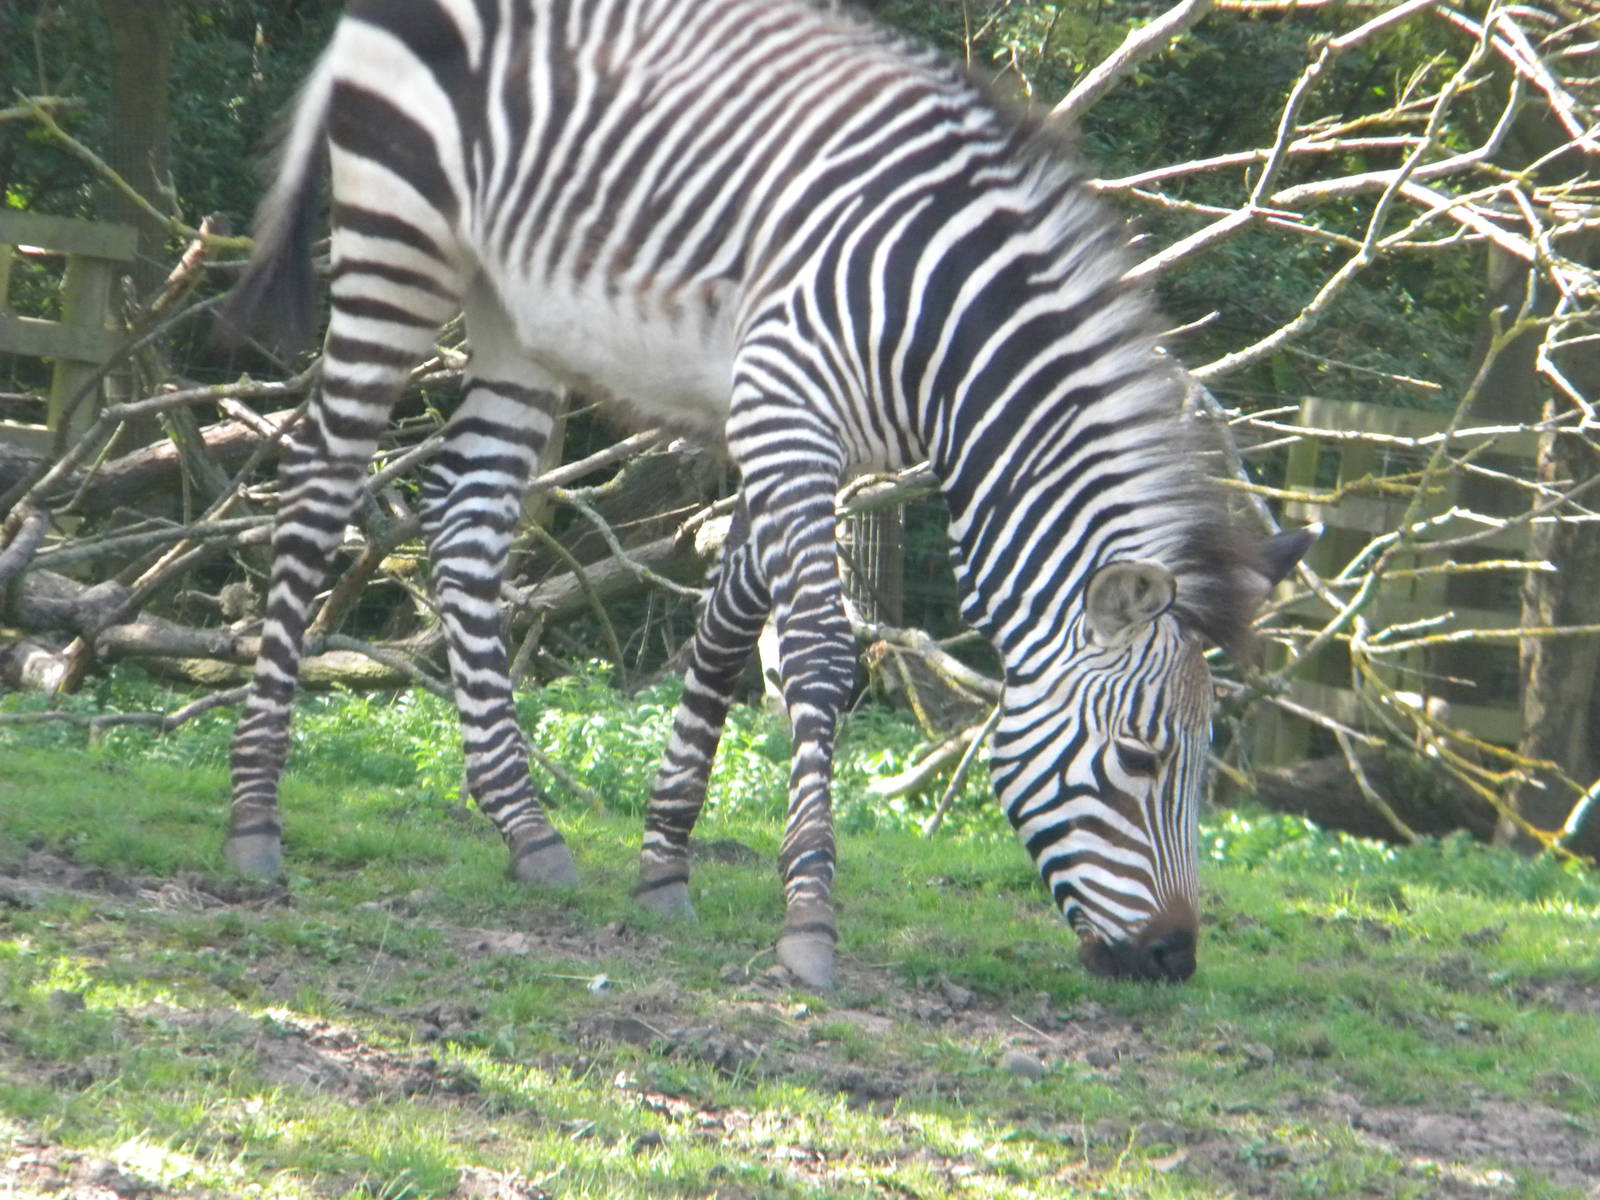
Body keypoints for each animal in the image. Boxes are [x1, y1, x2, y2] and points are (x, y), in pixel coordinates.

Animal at [222, 0, 1311, 988]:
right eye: (1140, 760)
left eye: (1202, 767)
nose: (1173, 961)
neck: (940, 326)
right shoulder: (787, 410)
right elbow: (820, 656)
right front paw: (809, 921)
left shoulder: (790, 427)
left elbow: (728, 625)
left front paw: (664, 864)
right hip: (399, 241)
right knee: (319, 482)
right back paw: (254, 816)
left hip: (513, 307)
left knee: (468, 525)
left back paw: (525, 825)